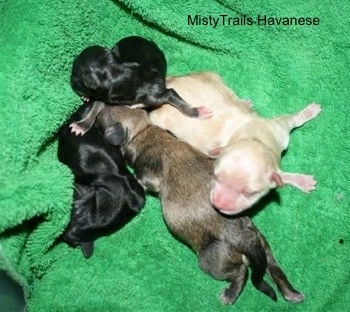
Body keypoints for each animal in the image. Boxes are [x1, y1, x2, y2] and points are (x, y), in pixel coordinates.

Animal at [68, 35, 211, 135]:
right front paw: (82, 125)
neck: (118, 73)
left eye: (75, 76)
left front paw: (197, 112)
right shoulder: (106, 95)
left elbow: (175, 98)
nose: (70, 83)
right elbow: (95, 107)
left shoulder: (157, 93)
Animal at [95, 106, 304, 304]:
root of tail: (243, 238)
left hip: (213, 260)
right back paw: (292, 294)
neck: (144, 130)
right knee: (275, 268)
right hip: (263, 245)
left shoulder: (150, 174)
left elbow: (143, 181)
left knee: (241, 272)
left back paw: (230, 295)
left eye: (98, 121)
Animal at [149, 72, 322, 216]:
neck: (254, 138)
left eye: (250, 193)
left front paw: (309, 112)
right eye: (215, 176)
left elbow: (292, 120)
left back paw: (244, 102)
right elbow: (281, 176)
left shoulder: (278, 131)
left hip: (211, 76)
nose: (219, 204)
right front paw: (303, 181)